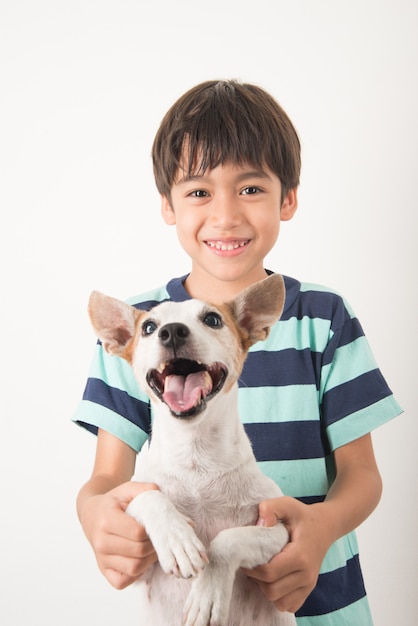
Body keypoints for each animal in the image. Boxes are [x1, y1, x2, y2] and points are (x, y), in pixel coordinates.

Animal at [88, 272, 298, 624]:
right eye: (149, 327)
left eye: (212, 319)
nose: (171, 331)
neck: (195, 454)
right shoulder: (131, 549)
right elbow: (147, 498)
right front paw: (177, 540)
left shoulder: (278, 532)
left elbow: (227, 541)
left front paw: (207, 593)